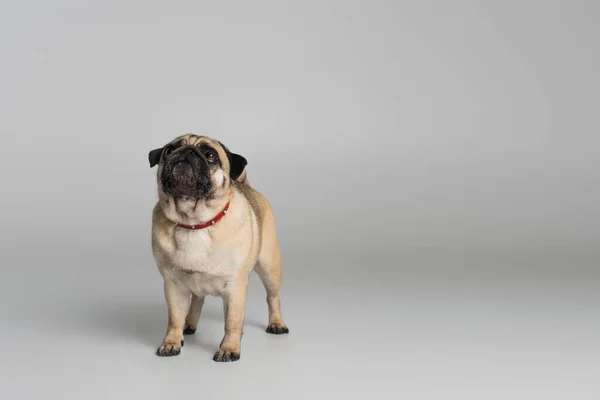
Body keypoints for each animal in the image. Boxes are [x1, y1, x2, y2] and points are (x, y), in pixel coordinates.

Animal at [147, 134, 288, 362]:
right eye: (169, 150)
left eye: (211, 155)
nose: (187, 152)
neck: (194, 223)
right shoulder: (173, 285)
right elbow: (174, 318)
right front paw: (171, 343)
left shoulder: (235, 287)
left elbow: (232, 322)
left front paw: (229, 349)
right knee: (197, 300)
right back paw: (189, 324)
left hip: (270, 267)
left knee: (272, 297)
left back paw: (276, 324)